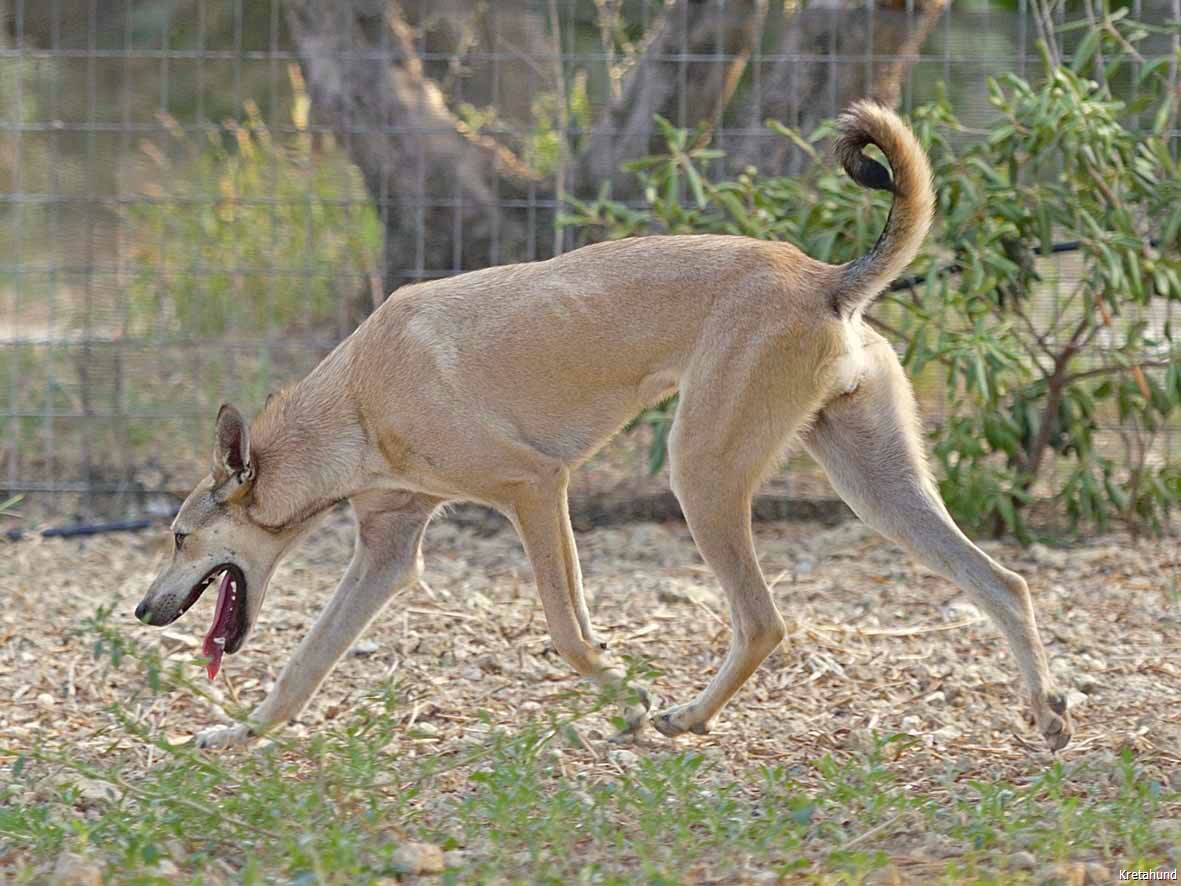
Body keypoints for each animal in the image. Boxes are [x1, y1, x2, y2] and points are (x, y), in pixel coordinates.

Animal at [135, 101, 1071, 752]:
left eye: (180, 536)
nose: (144, 611)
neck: (356, 400)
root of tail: (821, 278)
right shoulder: (387, 549)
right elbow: (302, 667)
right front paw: (238, 733)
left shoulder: (533, 489)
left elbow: (570, 634)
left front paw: (626, 699)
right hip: (876, 486)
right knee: (1004, 584)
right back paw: (1047, 712)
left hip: (701, 475)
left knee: (763, 622)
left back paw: (685, 717)